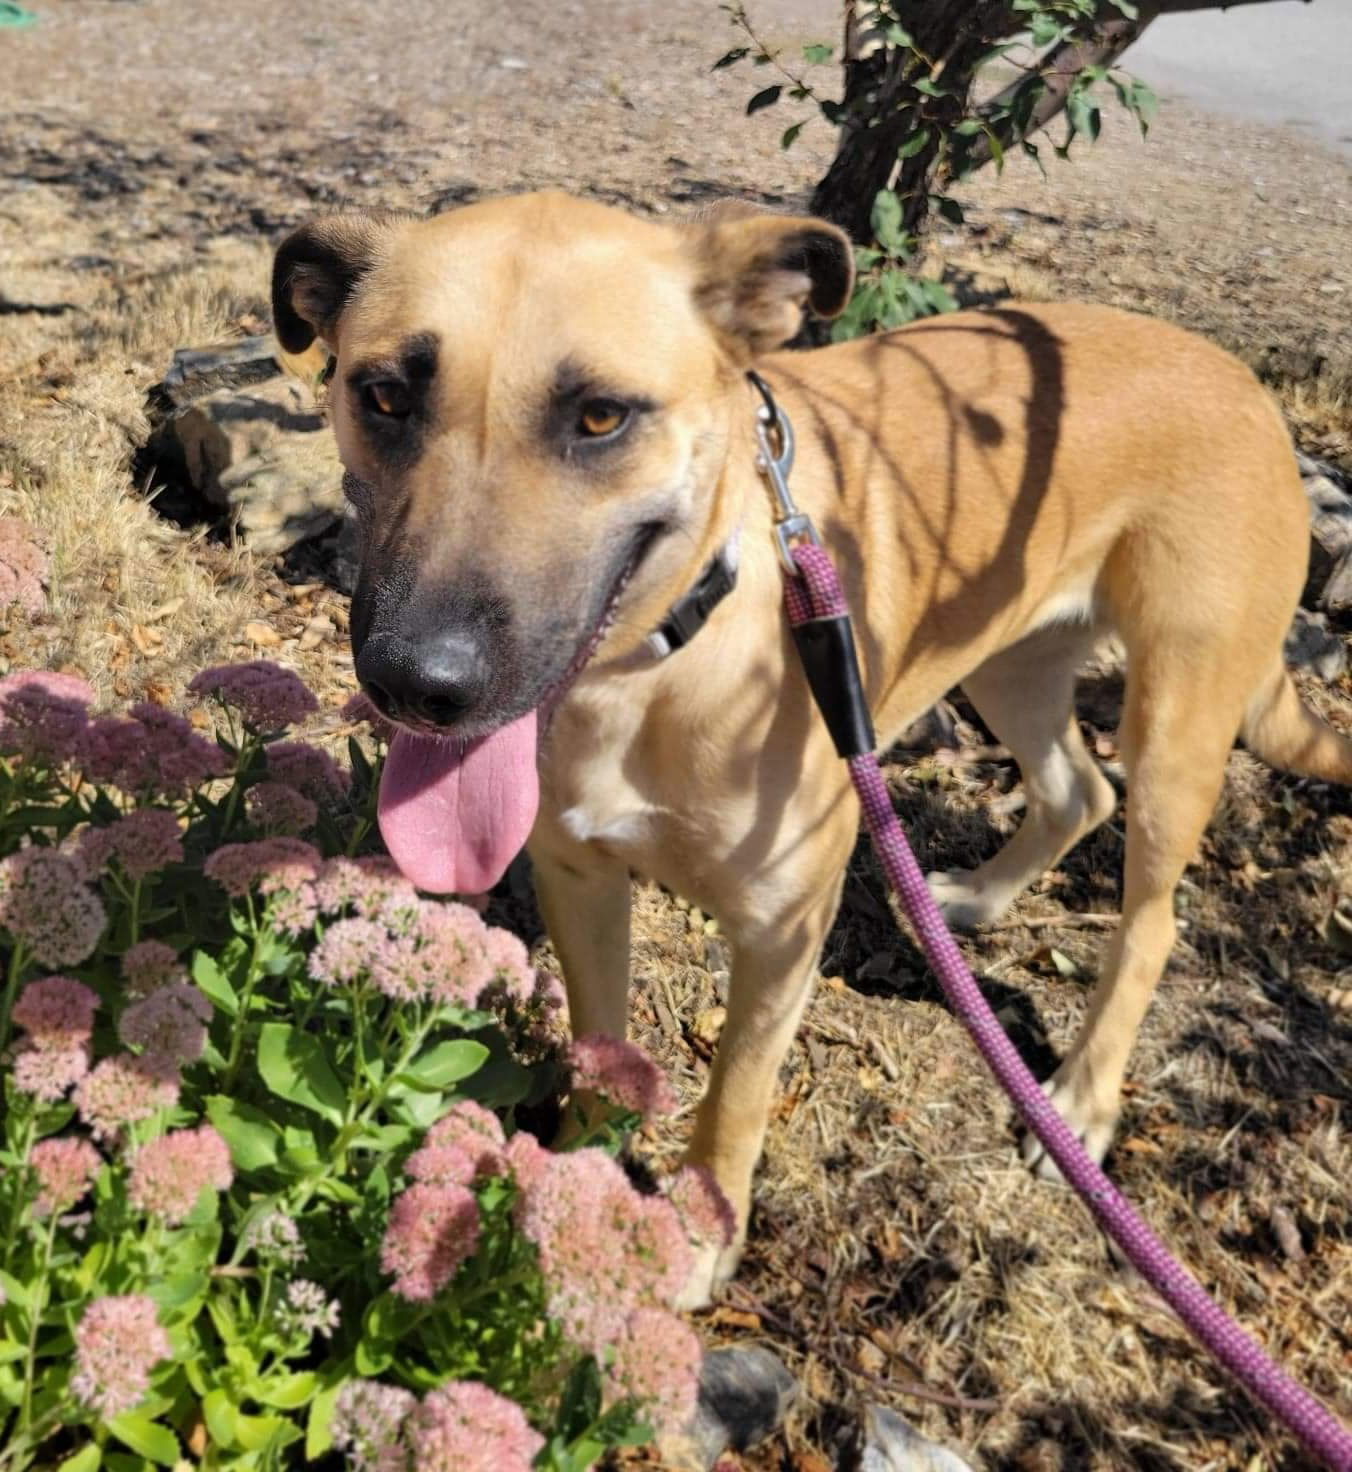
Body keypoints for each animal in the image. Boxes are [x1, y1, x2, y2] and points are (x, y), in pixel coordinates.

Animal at [269, 189, 1349, 1307]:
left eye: (601, 417)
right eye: (384, 394)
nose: (419, 684)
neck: (661, 660)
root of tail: (1240, 379)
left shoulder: (783, 931)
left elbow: (735, 1094)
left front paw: (700, 1230)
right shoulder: (580, 877)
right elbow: (600, 1042)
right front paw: (576, 1184)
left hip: (1177, 721)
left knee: (1150, 917)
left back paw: (1082, 1097)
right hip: (1008, 664)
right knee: (1075, 792)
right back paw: (972, 900)